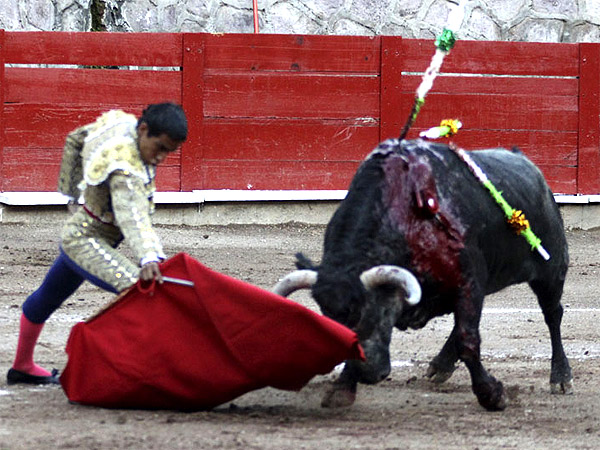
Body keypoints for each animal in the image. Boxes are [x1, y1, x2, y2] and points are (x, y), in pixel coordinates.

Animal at [274, 138, 576, 412]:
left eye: (374, 311)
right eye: (328, 317)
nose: (367, 372)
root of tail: (527, 163)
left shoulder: (468, 280)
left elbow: (469, 341)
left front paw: (492, 395)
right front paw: (342, 389)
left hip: (551, 271)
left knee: (552, 315)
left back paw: (561, 378)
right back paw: (441, 366)